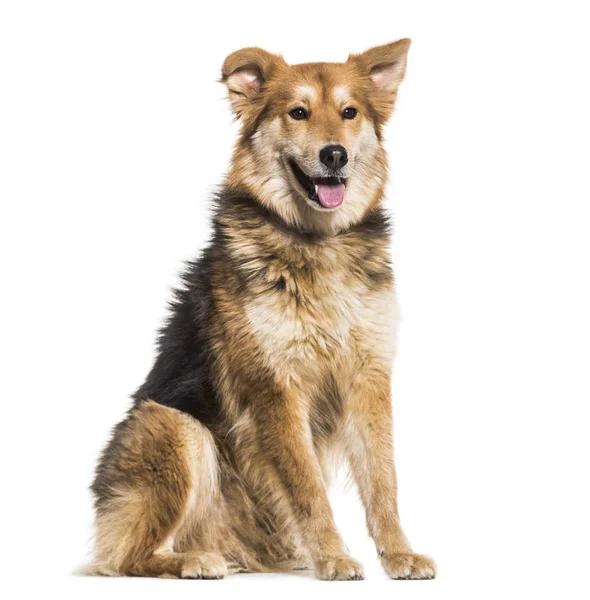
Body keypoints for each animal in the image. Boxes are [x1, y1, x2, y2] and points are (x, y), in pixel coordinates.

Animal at [90, 38, 438, 580]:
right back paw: (194, 560)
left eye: (349, 113)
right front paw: (334, 557)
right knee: (127, 557)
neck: (318, 244)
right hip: (176, 427)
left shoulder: (368, 376)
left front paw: (399, 554)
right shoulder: (275, 385)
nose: (334, 154)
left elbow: (384, 480)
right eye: (298, 113)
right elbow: (307, 486)